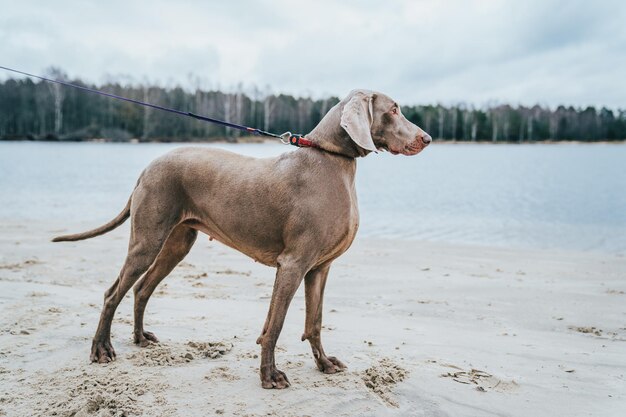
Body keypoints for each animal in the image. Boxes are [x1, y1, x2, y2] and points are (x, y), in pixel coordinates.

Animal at [52, 89, 428, 388]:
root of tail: (147, 167)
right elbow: (275, 326)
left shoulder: (319, 269)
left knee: (142, 289)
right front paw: (270, 376)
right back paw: (102, 350)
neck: (331, 159)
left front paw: (324, 364)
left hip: (177, 243)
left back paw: (141, 338)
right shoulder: (292, 264)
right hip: (147, 241)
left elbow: (315, 322)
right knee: (113, 293)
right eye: (394, 109)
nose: (426, 138)